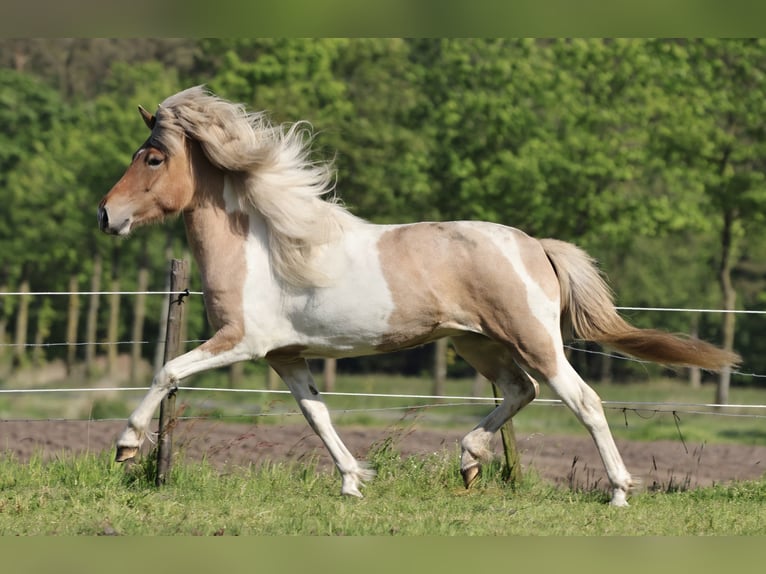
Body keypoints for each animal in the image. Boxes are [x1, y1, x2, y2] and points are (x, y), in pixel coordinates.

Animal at [98, 86, 739, 506]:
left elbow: (167, 371)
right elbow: (317, 415)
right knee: (520, 391)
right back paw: (469, 460)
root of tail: (534, 245)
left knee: (583, 401)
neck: (259, 245)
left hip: (534, 340)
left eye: (152, 158)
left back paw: (618, 492)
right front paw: (353, 483)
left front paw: (126, 448)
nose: (106, 215)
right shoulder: (287, 357)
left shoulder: (242, 342)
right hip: (477, 344)